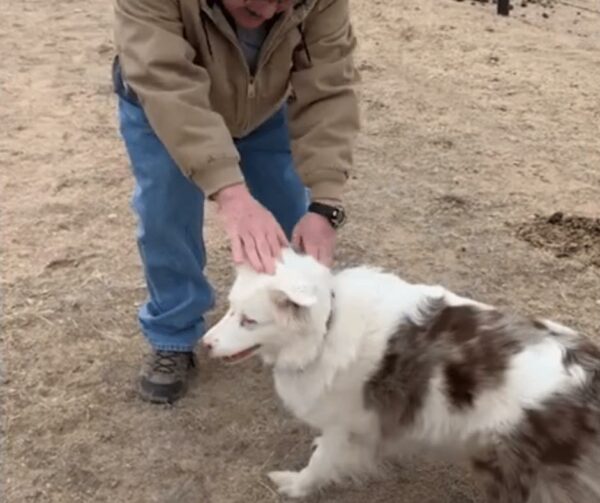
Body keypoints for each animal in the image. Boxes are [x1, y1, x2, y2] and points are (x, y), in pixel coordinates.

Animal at [203, 250, 600, 502]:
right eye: (231, 309)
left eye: (249, 321)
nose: (205, 344)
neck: (327, 326)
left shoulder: (343, 423)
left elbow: (320, 464)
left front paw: (295, 486)